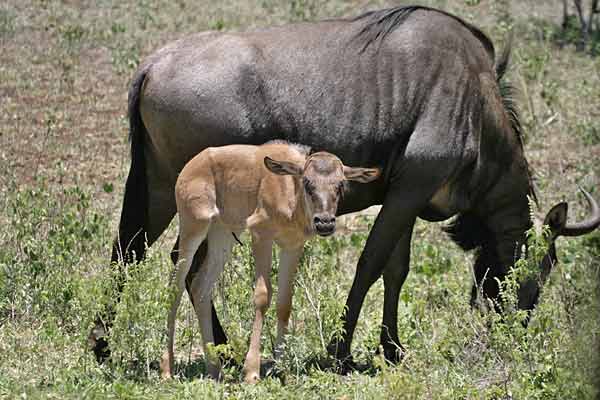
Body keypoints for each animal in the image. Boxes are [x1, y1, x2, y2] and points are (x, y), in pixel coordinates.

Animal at [162, 140, 380, 382]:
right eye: (307, 182)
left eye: (340, 184)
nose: (324, 223)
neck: (289, 190)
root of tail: (190, 167)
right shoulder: (261, 235)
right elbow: (263, 296)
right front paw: (251, 372)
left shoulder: (292, 246)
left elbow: (285, 303)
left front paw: (282, 369)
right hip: (194, 227)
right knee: (175, 287)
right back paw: (167, 369)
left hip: (223, 234)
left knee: (200, 287)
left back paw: (215, 369)